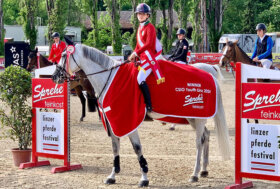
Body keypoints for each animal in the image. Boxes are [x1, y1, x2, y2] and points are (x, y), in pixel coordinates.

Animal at [50, 39, 230, 187]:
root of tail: (210, 73)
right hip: (193, 117)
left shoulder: (129, 121)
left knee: (199, 142)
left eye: (64, 55)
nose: (54, 77)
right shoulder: (113, 122)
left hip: (197, 118)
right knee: (206, 136)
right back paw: (203, 170)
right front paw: (112, 175)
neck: (110, 79)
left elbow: (137, 148)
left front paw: (144, 178)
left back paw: (195, 174)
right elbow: (115, 148)